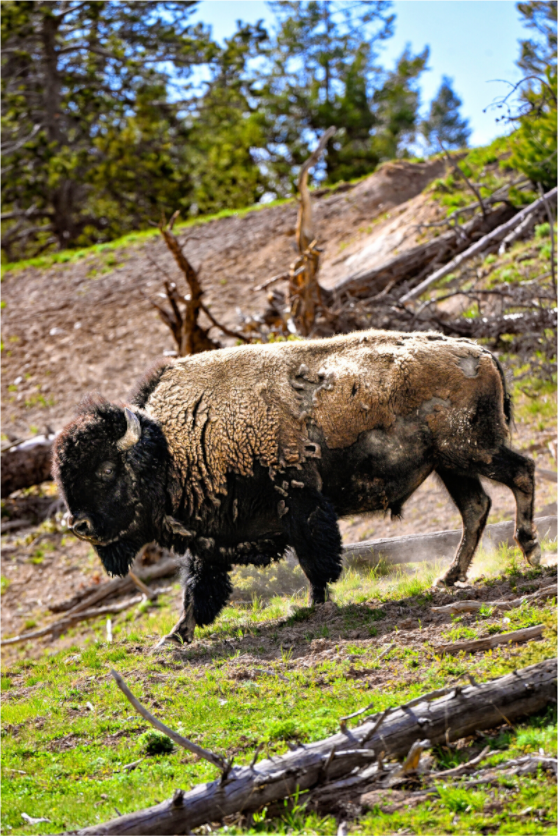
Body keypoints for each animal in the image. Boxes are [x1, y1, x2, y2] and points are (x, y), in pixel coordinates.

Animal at [53, 330, 540, 645]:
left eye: (105, 470)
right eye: (62, 475)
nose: (79, 525)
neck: (171, 444)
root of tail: (480, 351)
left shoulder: (300, 502)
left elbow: (316, 559)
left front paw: (316, 605)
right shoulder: (210, 535)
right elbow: (197, 587)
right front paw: (175, 636)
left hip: (472, 452)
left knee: (521, 473)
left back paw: (530, 550)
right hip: (451, 465)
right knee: (476, 507)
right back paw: (449, 577)